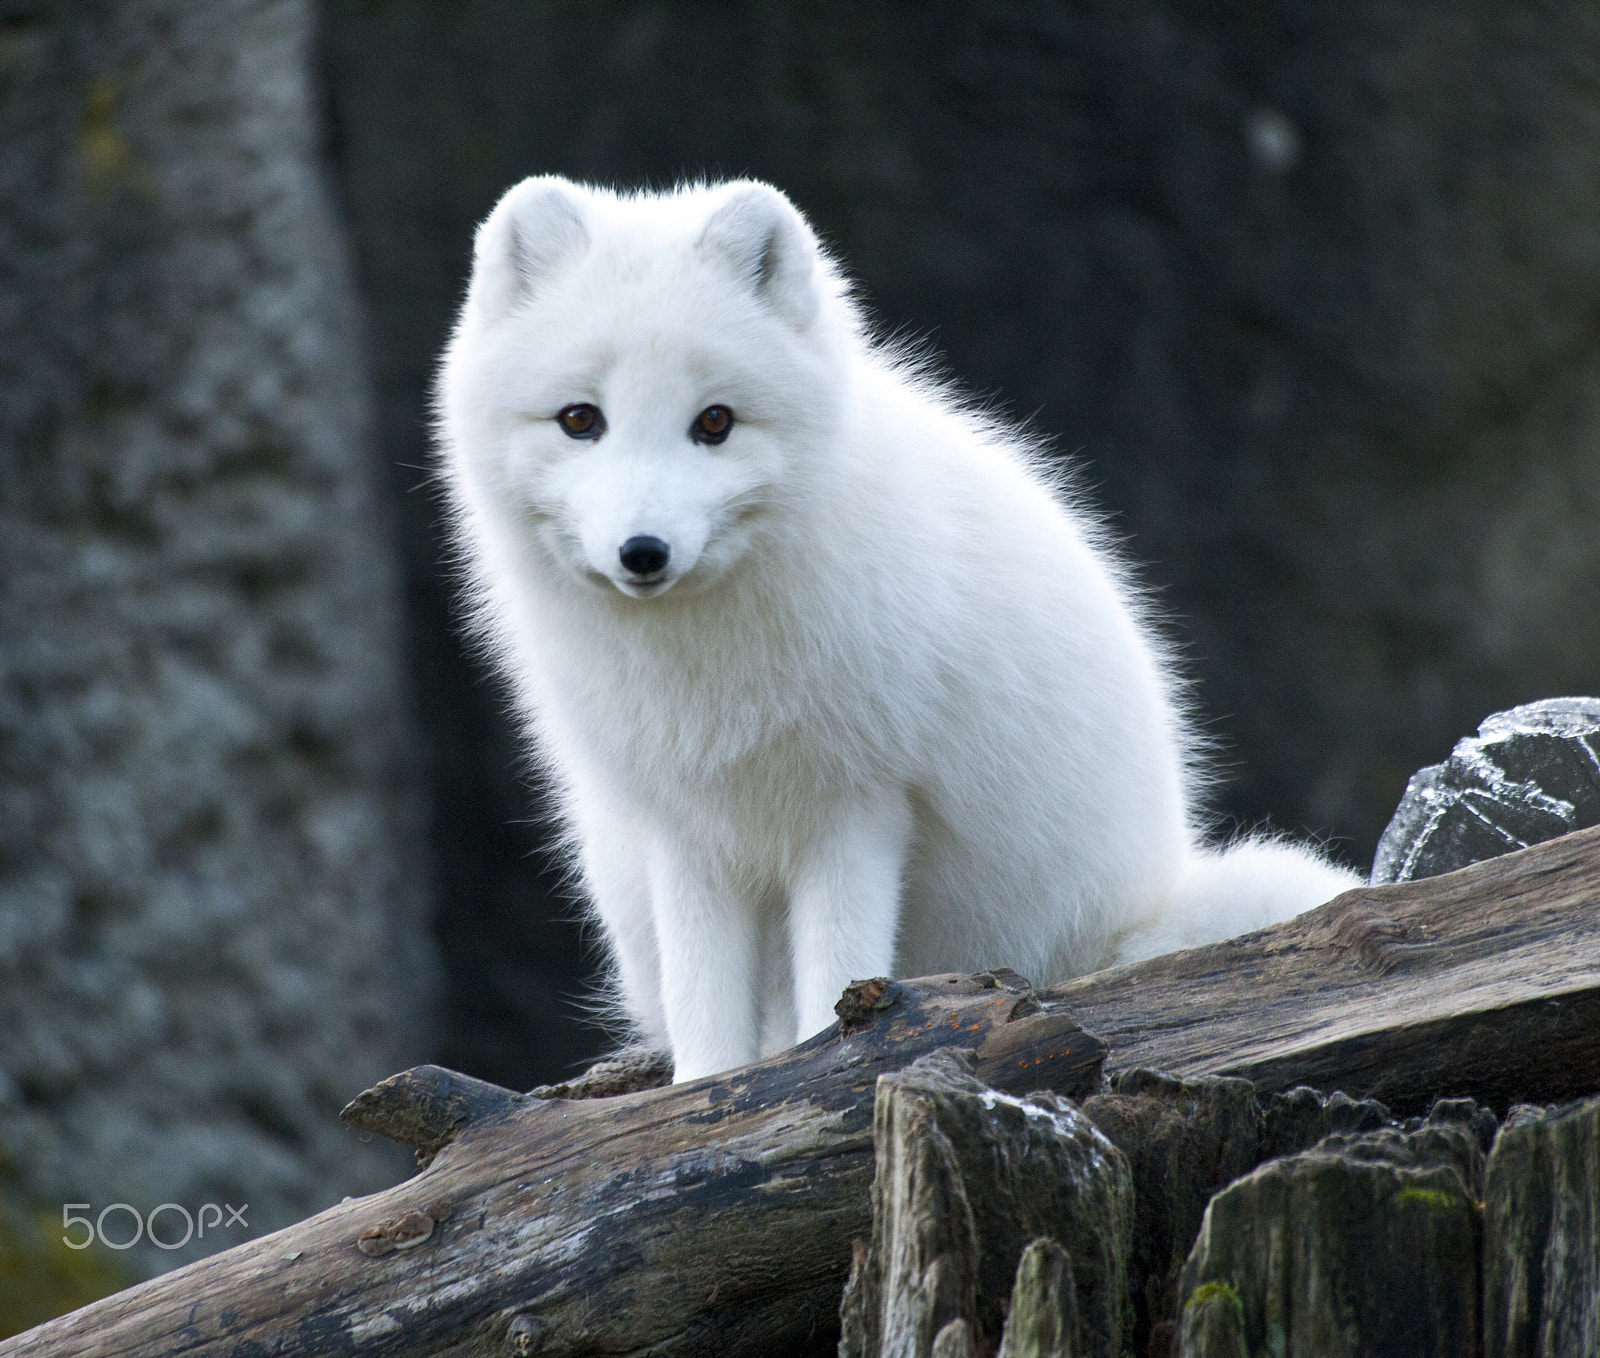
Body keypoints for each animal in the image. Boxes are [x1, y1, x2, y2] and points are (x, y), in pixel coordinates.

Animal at [435, 175, 1359, 1083]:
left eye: (715, 422)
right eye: (579, 419)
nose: (643, 552)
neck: (708, 667)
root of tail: (1140, 907)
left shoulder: (859, 805)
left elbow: (838, 973)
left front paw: (827, 1068)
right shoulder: (686, 826)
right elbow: (705, 1005)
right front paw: (710, 1095)